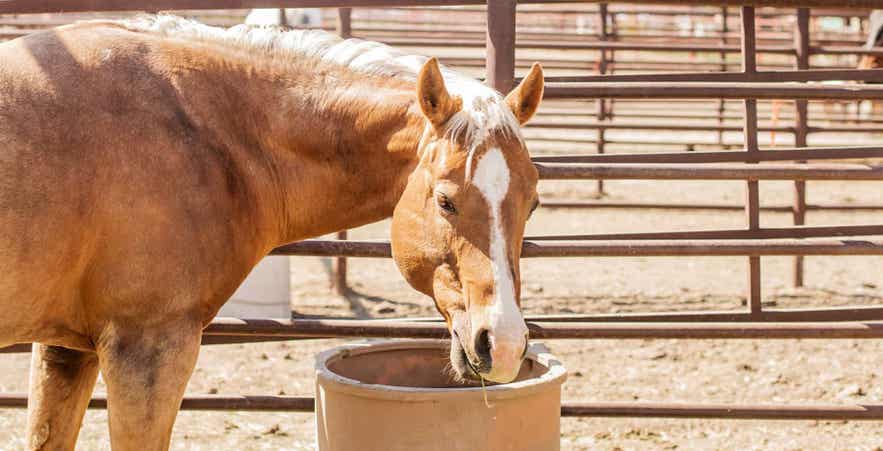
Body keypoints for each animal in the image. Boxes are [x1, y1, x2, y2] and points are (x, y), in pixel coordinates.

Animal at [0, 15, 544, 450]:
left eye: (532, 203)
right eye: (446, 201)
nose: (504, 344)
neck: (206, 130)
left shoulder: (65, 348)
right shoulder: (148, 349)